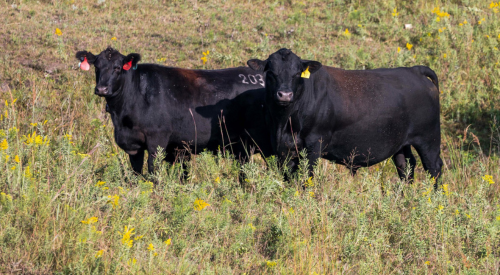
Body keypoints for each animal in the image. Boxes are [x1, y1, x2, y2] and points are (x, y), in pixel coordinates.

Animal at [74, 46, 272, 174]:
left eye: (117, 68)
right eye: (97, 67)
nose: (102, 89)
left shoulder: (157, 140)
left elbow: (153, 172)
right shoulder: (134, 145)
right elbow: (136, 174)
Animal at [248, 48, 444, 189]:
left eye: (297, 74)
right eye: (271, 72)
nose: (285, 95)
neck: (285, 122)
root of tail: (414, 70)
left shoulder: (314, 145)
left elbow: (306, 176)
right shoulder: (283, 148)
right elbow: (289, 177)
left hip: (429, 138)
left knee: (433, 167)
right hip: (402, 143)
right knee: (406, 166)